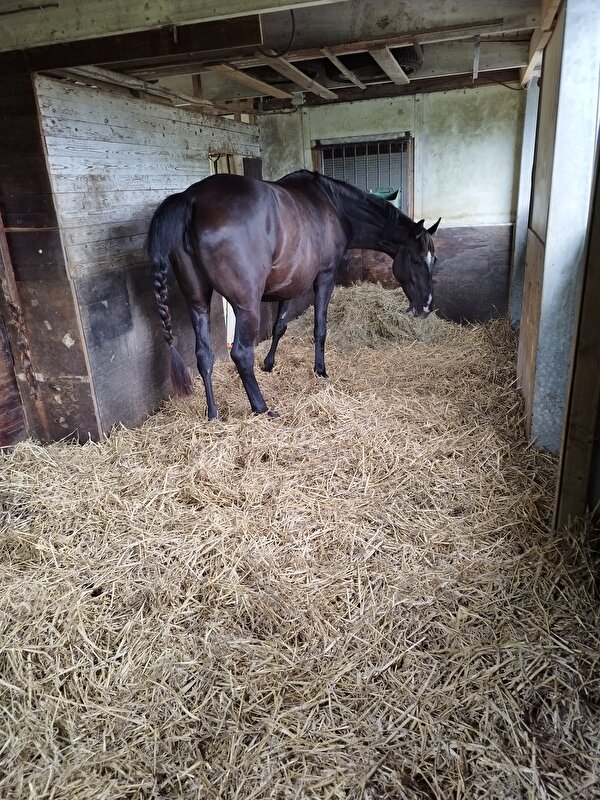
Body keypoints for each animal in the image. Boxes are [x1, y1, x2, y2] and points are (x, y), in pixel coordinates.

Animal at [147, 169, 440, 419]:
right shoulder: (325, 277)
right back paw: (262, 408)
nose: (426, 305)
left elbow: (279, 326)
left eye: (433, 259)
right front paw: (320, 370)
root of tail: (192, 198)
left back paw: (212, 414)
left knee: (204, 355)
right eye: (416, 259)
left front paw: (269, 363)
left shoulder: (290, 284)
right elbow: (320, 328)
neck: (333, 205)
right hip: (246, 307)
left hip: (198, 302)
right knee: (241, 354)